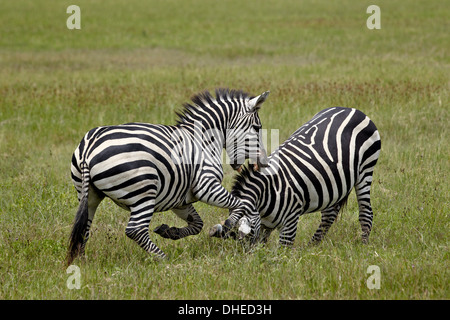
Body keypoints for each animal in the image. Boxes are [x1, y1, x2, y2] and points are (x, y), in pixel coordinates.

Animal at [66, 88, 268, 264]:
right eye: (257, 127)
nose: (264, 163)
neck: (204, 141)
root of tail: (89, 148)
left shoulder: (180, 199)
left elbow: (197, 224)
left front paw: (170, 232)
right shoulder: (206, 186)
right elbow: (243, 205)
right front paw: (230, 229)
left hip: (89, 195)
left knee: (84, 227)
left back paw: (82, 262)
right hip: (144, 191)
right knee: (135, 230)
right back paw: (163, 259)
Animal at [209, 106, 382, 246]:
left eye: (245, 236)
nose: (245, 258)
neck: (266, 195)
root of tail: (354, 110)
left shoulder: (290, 222)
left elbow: (282, 254)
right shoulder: (266, 224)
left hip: (365, 170)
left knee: (366, 212)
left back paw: (363, 246)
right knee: (329, 215)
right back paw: (311, 247)